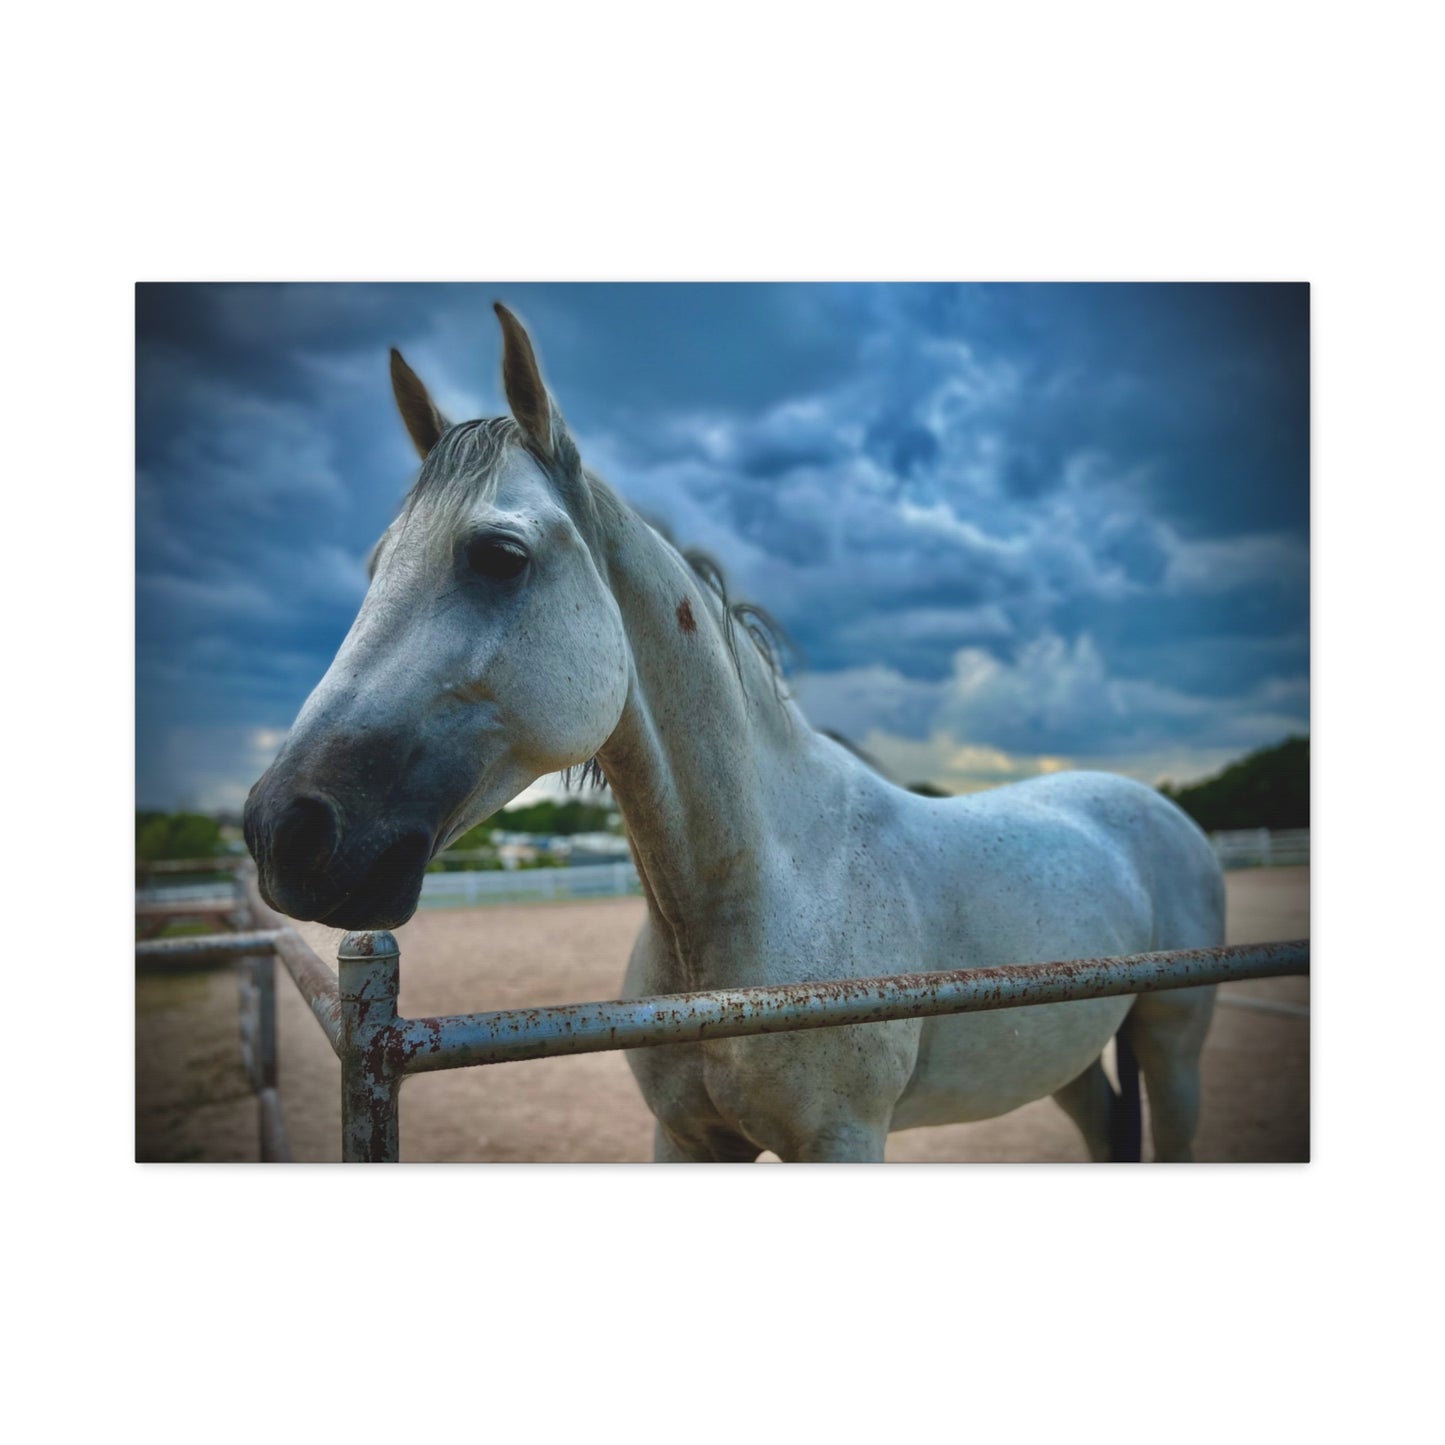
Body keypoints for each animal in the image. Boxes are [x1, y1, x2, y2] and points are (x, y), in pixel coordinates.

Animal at [244, 303, 1225, 1163]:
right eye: (377, 565)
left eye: (498, 556)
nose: (281, 828)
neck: (765, 888)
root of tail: (1153, 810)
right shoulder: (684, 1139)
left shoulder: (843, 1140)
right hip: (1065, 1059)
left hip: (1173, 1043)